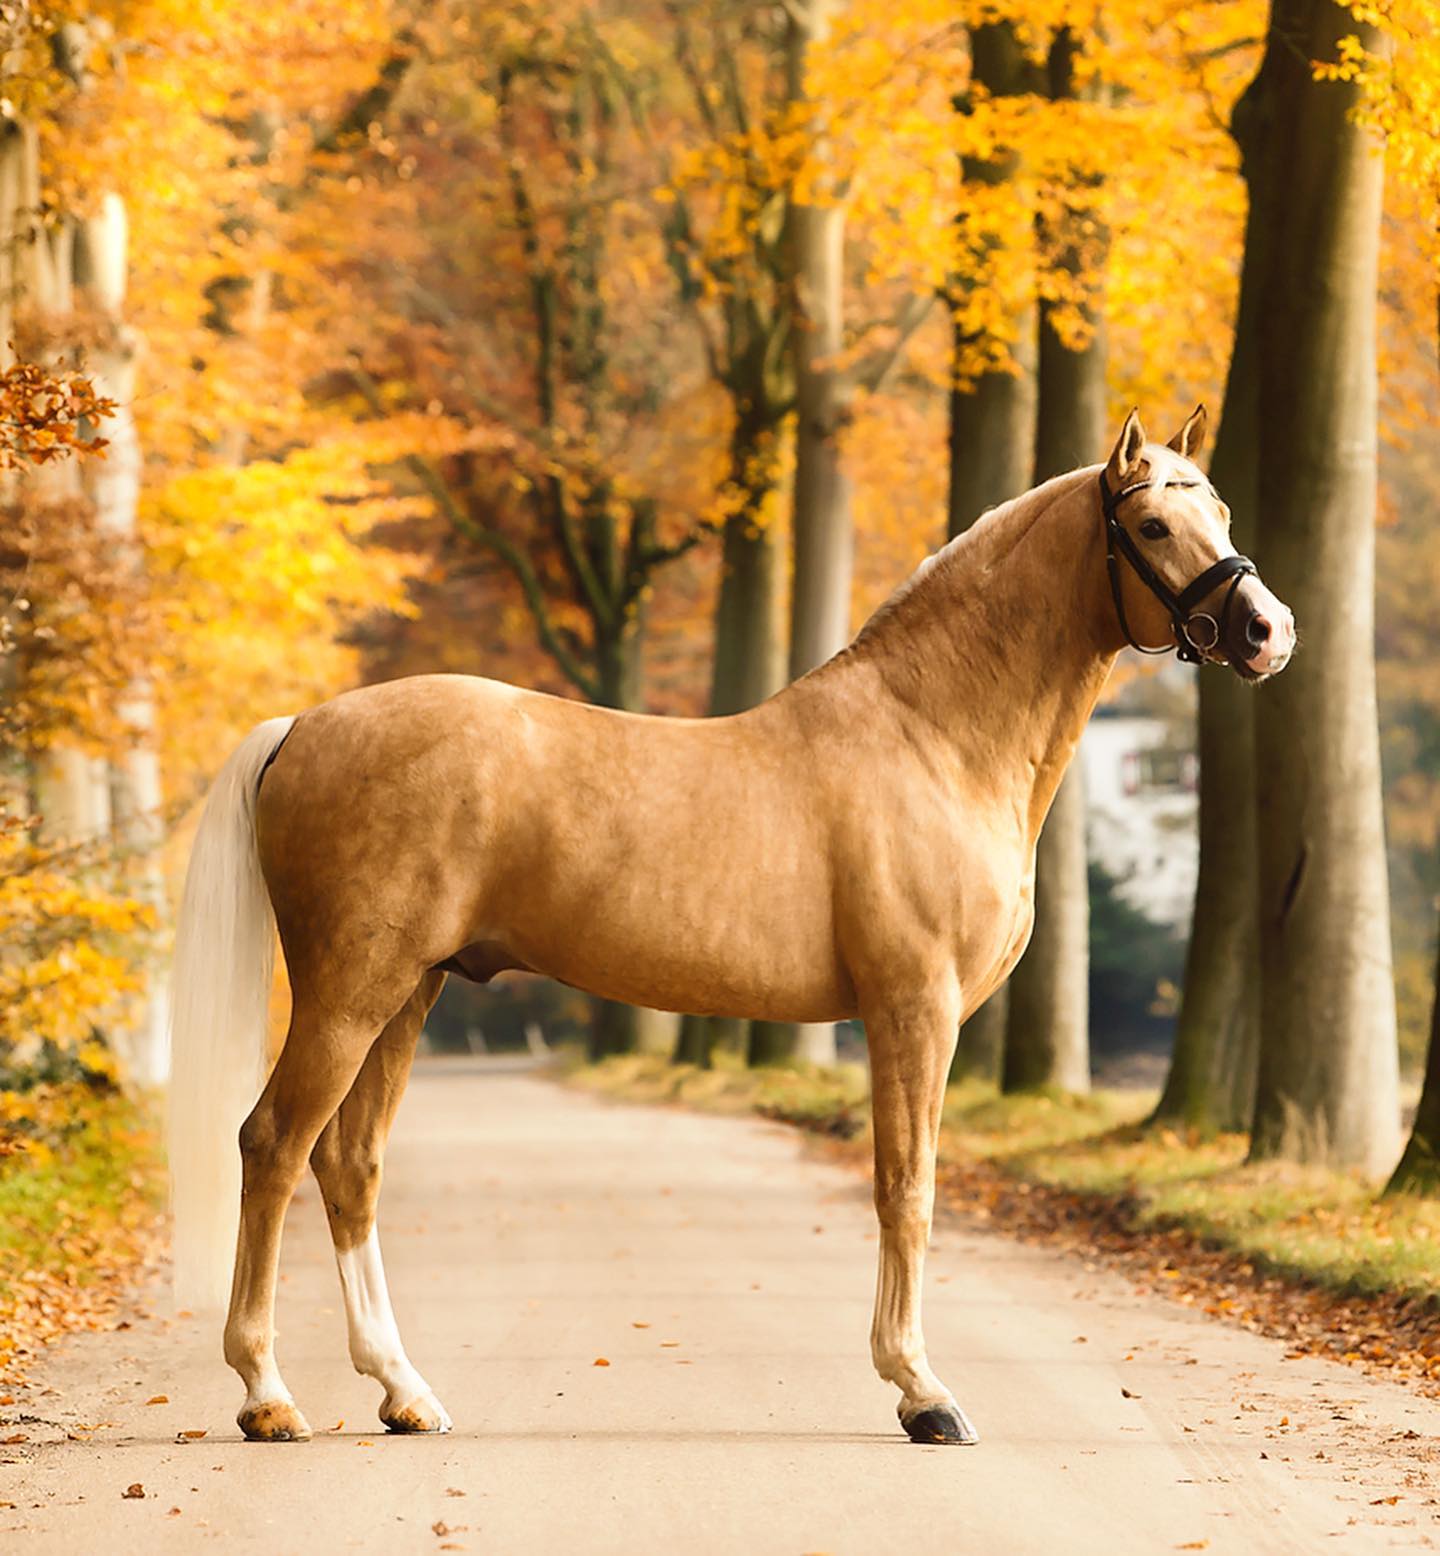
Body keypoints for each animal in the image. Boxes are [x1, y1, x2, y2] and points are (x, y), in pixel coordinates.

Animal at [165, 404, 1295, 1443]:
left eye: (1223, 511)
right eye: (1150, 523)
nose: (1266, 630)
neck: (931, 736)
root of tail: (303, 727)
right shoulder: (913, 1010)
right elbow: (906, 1188)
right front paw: (922, 1391)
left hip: (411, 990)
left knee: (348, 1164)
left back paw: (404, 1392)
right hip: (351, 992)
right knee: (272, 1144)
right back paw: (267, 1395)